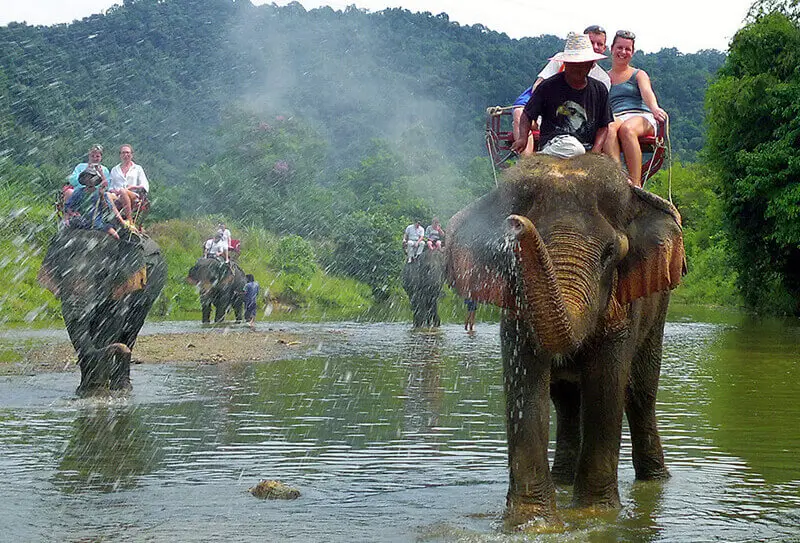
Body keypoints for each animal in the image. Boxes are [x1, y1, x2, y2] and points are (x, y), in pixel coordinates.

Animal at [37, 229, 167, 396]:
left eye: (103, 274)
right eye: (61, 273)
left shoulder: (122, 284)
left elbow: (110, 323)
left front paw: (98, 389)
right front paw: (86, 391)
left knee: (131, 330)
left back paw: (123, 387)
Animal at [446, 154, 685, 524]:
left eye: (610, 252)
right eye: (510, 253)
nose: (516, 223)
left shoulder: (623, 307)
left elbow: (607, 383)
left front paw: (594, 515)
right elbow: (527, 387)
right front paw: (531, 522)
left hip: (659, 307)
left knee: (640, 392)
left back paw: (655, 480)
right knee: (567, 400)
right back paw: (562, 481)